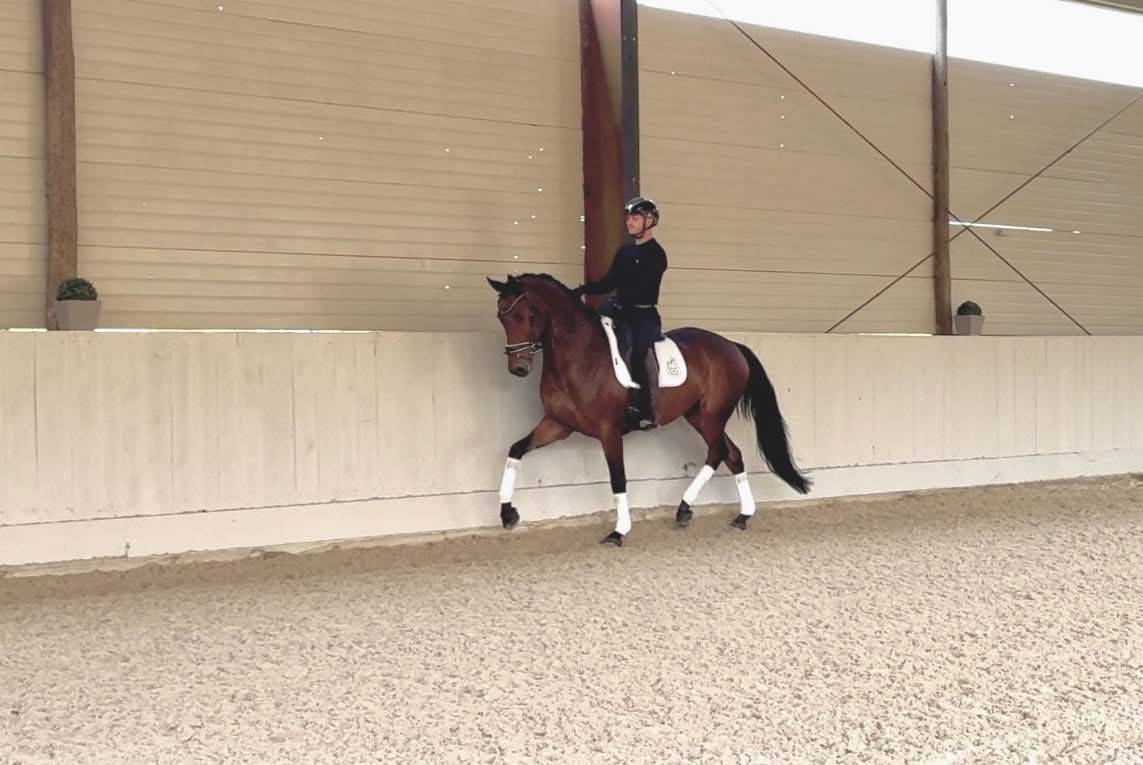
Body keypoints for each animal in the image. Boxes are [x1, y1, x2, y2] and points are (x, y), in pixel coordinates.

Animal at [487, 273, 810, 546]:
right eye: (502, 317)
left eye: (525, 315)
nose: (518, 368)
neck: (579, 356)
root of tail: (731, 345)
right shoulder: (558, 423)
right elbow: (516, 449)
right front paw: (507, 513)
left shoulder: (608, 430)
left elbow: (618, 478)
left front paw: (619, 531)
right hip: (699, 416)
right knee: (733, 455)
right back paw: (739, 515)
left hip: (711, 416)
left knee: (719, 452)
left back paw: (686, 508)